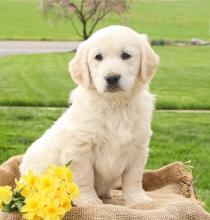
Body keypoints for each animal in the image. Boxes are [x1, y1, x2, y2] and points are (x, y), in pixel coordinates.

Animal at [20, 25, 159, 206]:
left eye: (126, 55)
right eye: (98, 57)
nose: (112, 78)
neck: (115, 105)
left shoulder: (138, 148)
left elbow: (133, 178)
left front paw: (138, 200)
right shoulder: (79, 149)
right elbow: (84, 177)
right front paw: (89, 201)